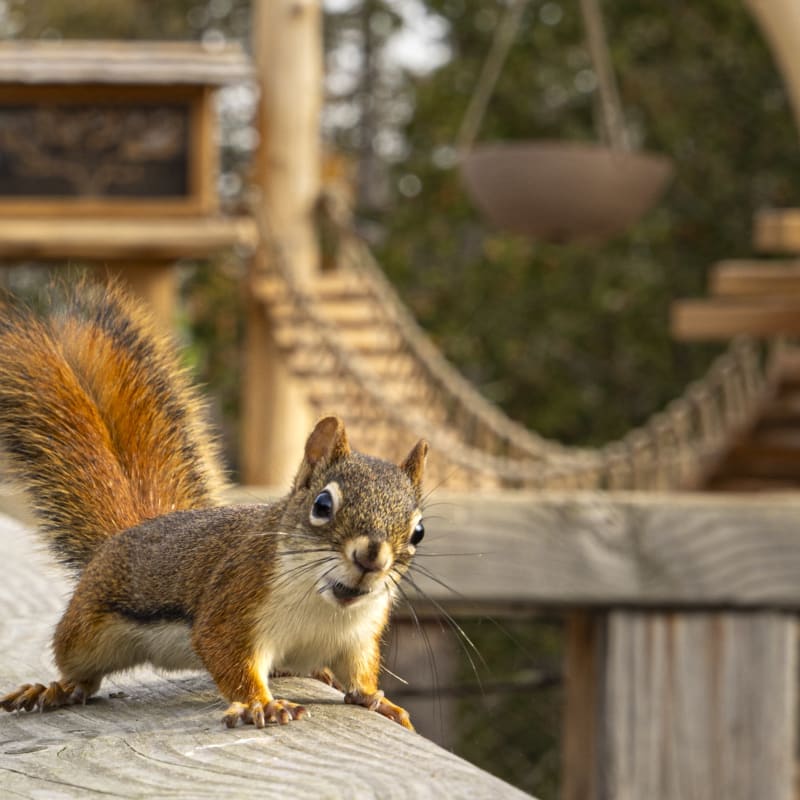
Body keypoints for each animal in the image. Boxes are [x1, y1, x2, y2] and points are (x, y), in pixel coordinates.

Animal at [0, 279, 428, 730]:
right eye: (322, 505)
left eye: (418, 531)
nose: (372, 556)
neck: (323, 603)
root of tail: (126, 533)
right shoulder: (233, 603)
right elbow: (228, 657)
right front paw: (262, 704)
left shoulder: (358, 637)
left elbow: (360, 675)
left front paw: (380, 701)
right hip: (87, 629)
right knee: (81, 672)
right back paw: (53, 689)